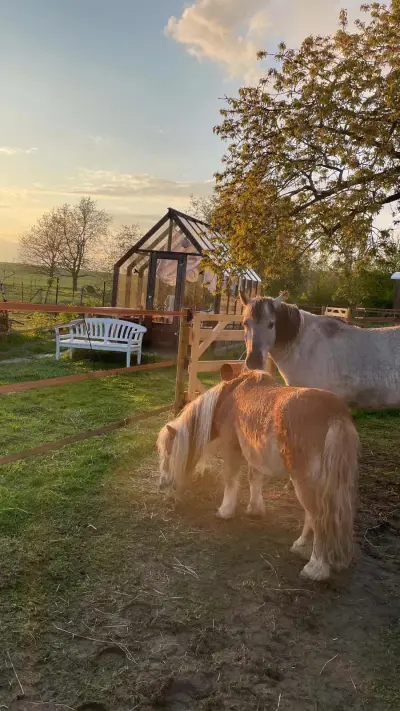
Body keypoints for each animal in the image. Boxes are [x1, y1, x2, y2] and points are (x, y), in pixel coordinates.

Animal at [157, 371, 359, 581]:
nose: (162, 484)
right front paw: (255, 509)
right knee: (317, 516)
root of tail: (335, 414)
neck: (229, 398)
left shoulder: (232, 447)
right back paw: (301, 546)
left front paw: (225, 511)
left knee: (318, 517)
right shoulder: (254, 450)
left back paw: (315, 567)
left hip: (305, 482)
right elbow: (254, 478)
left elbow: (230, 479)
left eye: (168, 453)